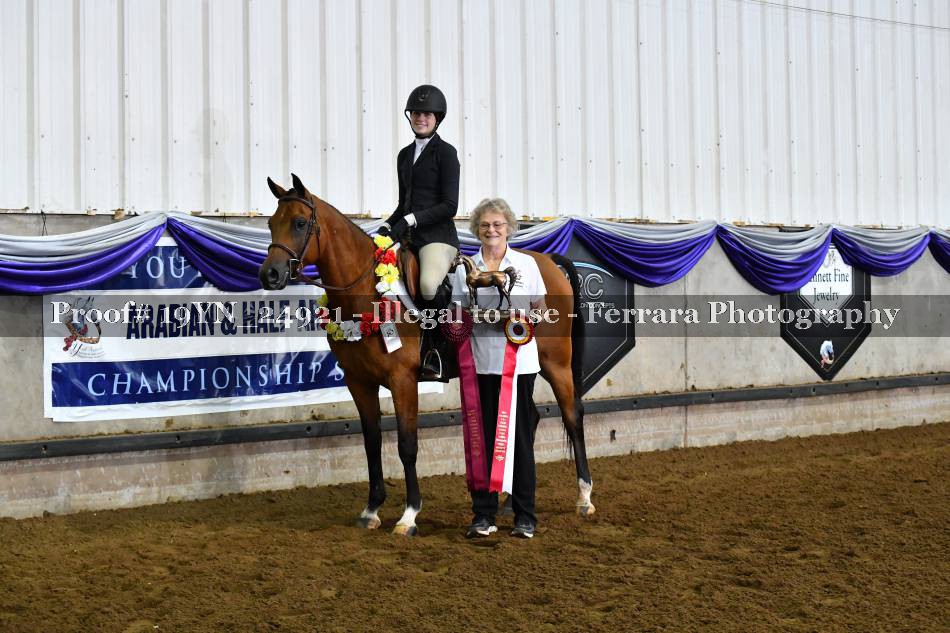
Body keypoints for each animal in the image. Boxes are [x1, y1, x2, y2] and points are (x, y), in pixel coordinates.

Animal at [259, 174, 594, 536]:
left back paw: (584, 498)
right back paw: (508, 504)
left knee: (573, 416)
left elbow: (407, 444)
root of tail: (548, 261)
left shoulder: (402, 380)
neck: (366, 294)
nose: (270, 275)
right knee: (529, 417)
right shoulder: (359, 382)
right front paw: (371, 510)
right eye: (271, 223)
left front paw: (409, 516)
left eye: (299, 222)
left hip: (556, 363)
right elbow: (372, 442)